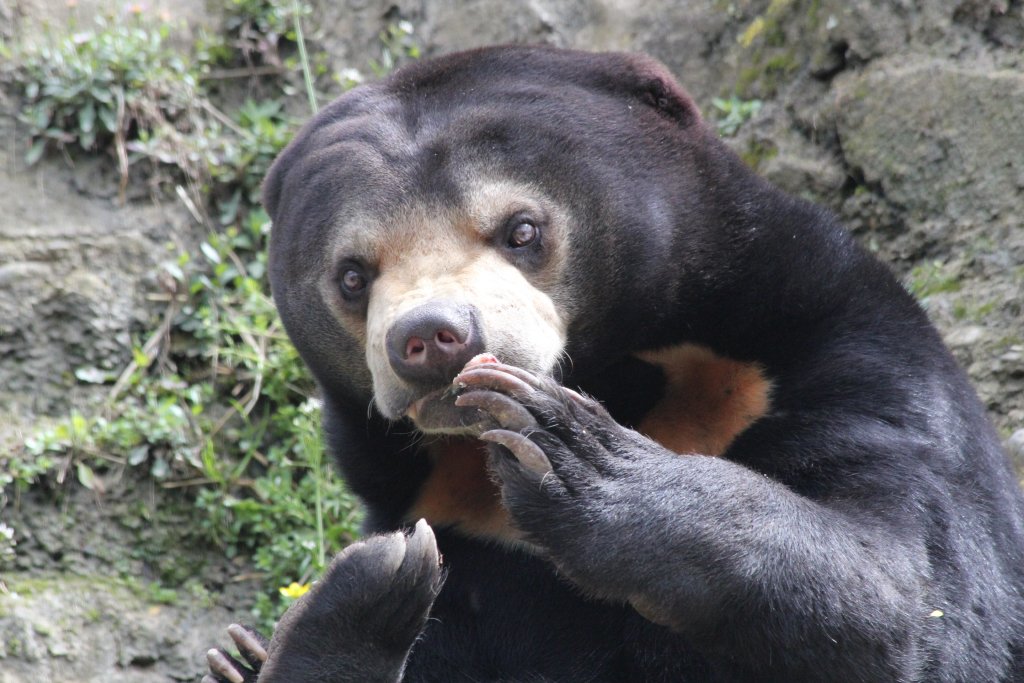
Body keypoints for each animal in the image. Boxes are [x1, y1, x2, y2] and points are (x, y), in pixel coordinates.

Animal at [202, 45, 1024, 682]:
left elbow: (912, 596)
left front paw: (565, 450)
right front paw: (363, 587)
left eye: (522, 229)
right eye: (353, 275)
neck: (634, 378)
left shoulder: (840, 357)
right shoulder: (449, 520)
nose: (432, 336)